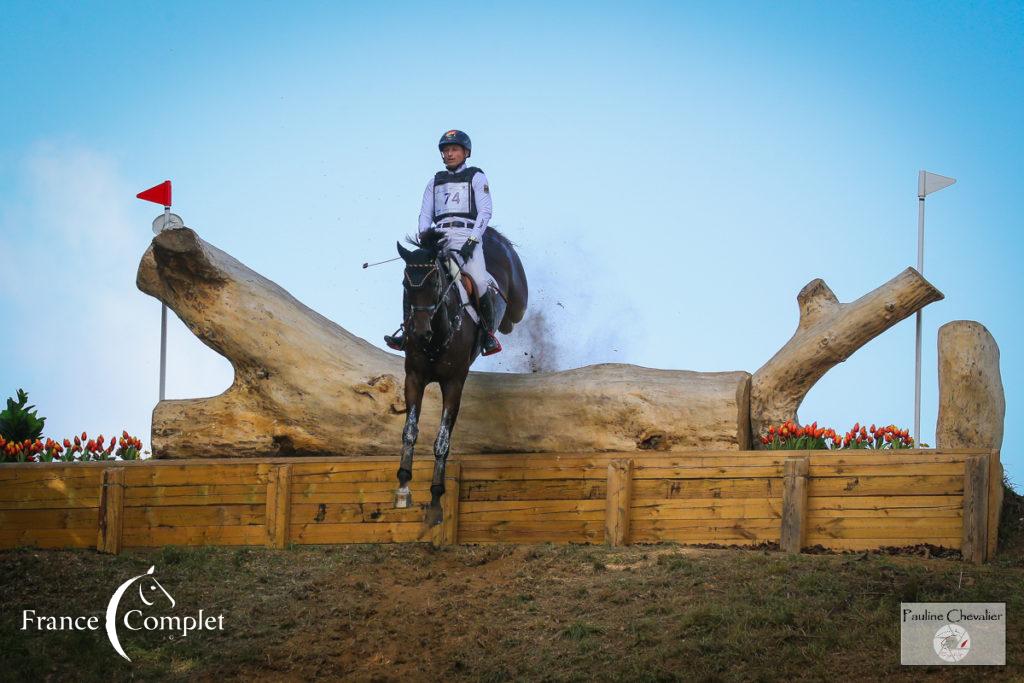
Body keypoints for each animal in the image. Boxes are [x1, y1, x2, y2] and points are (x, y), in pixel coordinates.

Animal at [393, 227, 528, 528]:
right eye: (406, 286)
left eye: (435, 283)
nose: (420, 333)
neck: (436, 338)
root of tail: (492, 235)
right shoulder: (414, 378)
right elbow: (410, 431)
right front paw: (403, 487)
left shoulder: (453, 384)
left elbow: (442, 440)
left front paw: (435, 500)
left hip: (518, 298)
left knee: (514, 314)